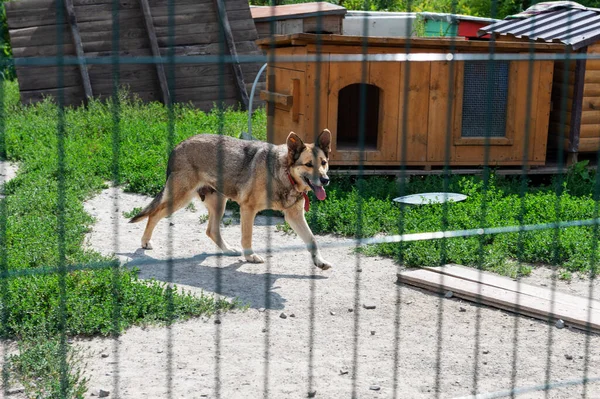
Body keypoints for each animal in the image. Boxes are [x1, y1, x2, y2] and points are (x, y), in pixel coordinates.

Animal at [129, 130, 332, 270]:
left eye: (323, 163)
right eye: (308, 164)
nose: (325, 180)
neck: (284, 173)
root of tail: (178, 146)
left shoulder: (294, 216)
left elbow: (312, 240)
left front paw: (320, 261)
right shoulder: (248, 209)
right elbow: (247, 237)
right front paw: (250, 256)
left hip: (218, 202)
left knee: (211, 230)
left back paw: (227, 250)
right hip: (181, 198)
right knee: (154, 214)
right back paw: (145, 241)